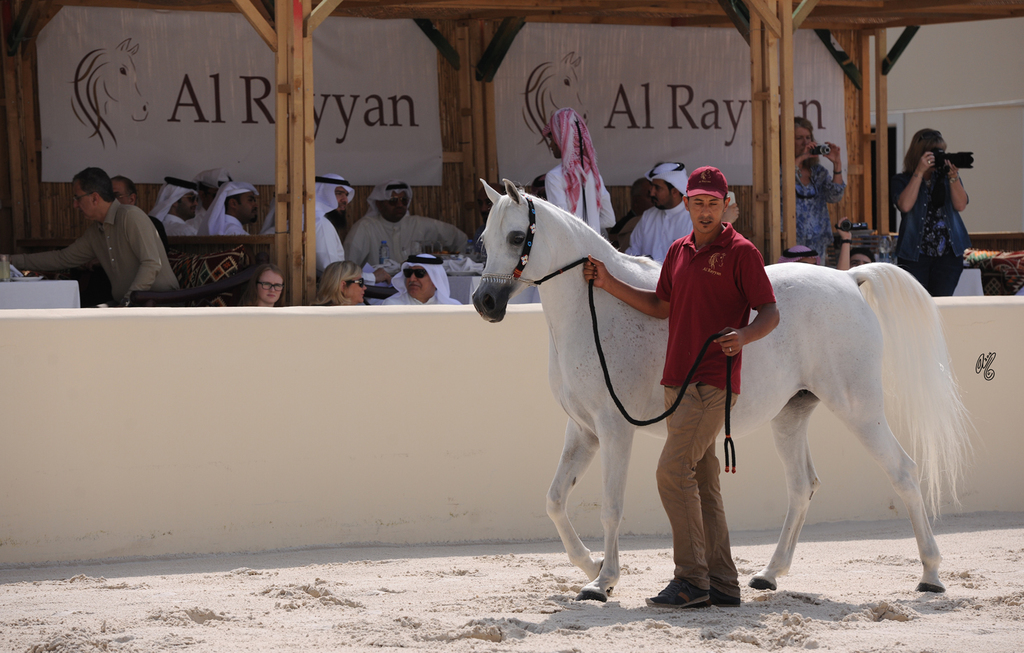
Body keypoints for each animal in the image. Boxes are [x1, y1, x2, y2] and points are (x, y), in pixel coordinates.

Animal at [472, 179, 971, 603]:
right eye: (483, 240)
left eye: (516, 238)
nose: (484, 303)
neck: (596, 311)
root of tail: (848, 279)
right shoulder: (583, 431)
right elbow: (555, 500)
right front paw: (590, 565)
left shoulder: (614, 430)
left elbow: (611, 507)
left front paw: (603, 582)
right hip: (790, 417)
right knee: (802, 486)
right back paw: (768, 574)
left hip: (860, 410)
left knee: (903, 472)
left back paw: (930, 575)